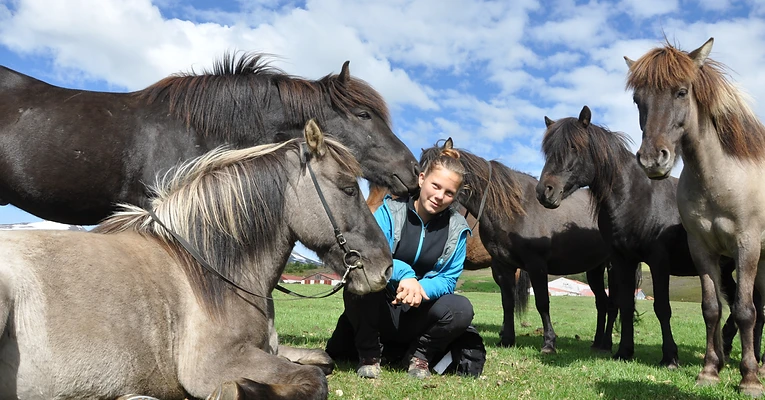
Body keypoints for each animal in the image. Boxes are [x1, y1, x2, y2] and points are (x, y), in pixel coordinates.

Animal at [0, 120, 393, 400]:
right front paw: (239, 390)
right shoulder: (217, 363)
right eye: (348, 189)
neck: (212, 270)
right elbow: (314, 380)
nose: (385, 269)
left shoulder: (270, 349)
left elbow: (322, 362)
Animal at [420, 140, 615, 353]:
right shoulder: (504, 266)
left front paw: (549, 342)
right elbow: (508, 303)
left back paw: (606, 344)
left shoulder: (536, 265)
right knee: (602, 303)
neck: (515, 209)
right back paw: (597, 342)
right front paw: (507, 339)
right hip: (595, 269)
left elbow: (542, 303)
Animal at [535, 105, 759, 368]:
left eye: (573, 147)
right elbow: (625, 304)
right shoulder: (623, 261)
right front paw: (624, 351)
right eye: (548, 150)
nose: (544, 191)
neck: (635, 198)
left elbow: (662, 307)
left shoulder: (658, 260)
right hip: (725, 270)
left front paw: (670, 356)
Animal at [626, 38, 765, 396]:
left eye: (681, 91)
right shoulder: (702, 249)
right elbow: (711, 308)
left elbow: (744, 311)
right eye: (637, 100)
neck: (720, 178)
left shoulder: (746, 246)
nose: (652, 160)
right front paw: (710, 370)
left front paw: (749, 379)